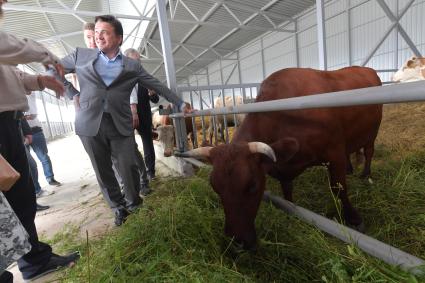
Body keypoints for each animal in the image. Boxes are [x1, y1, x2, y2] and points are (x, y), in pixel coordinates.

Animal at [177, 66, 382, 251]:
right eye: (215, 187)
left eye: (252, 185)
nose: (237, 243)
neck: (285, 119)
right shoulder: (283, 167)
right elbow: (287, 193)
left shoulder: (334, 152)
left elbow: (339, 188)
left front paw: (354, 219)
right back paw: (351, 168)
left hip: (372, 132)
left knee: (369, 151)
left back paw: (365, 173)